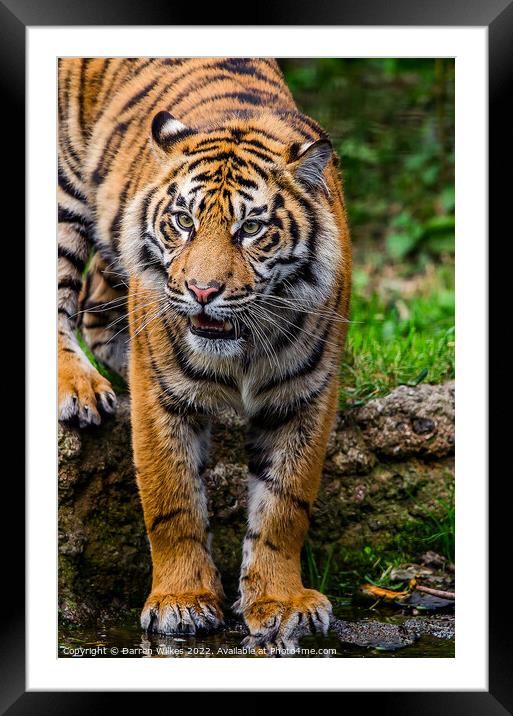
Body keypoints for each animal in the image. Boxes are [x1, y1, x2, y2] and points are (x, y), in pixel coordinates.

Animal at [58, 58, 350, 652]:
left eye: (252, 228)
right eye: (184, 221)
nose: (202, 290)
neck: (243, 348)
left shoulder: (306, 398)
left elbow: (284, 506)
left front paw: (280, 603)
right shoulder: (160, 395)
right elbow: (171, 499)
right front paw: (182, 601)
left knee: (96, 310)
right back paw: (79, 388)